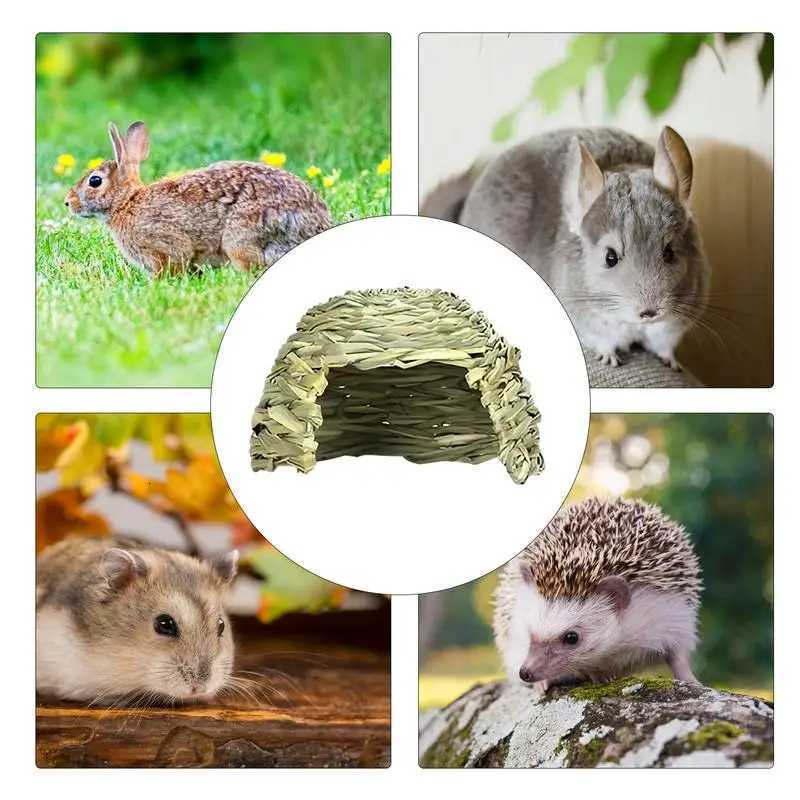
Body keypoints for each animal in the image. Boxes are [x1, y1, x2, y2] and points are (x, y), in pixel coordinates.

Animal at [65, 121, 332, 276]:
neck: (126, 202)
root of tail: (316, 226)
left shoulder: (165, 244)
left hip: (241, 239)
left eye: (95, 181)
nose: (68, 202)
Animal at [422, 126, 709, 370]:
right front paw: (610, 358)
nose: (649, 313)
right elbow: (603, 342)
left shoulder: (673, 327)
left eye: (670, 252)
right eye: (610, 257)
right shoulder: (590, 323)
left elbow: (664, 347)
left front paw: (672, 363)